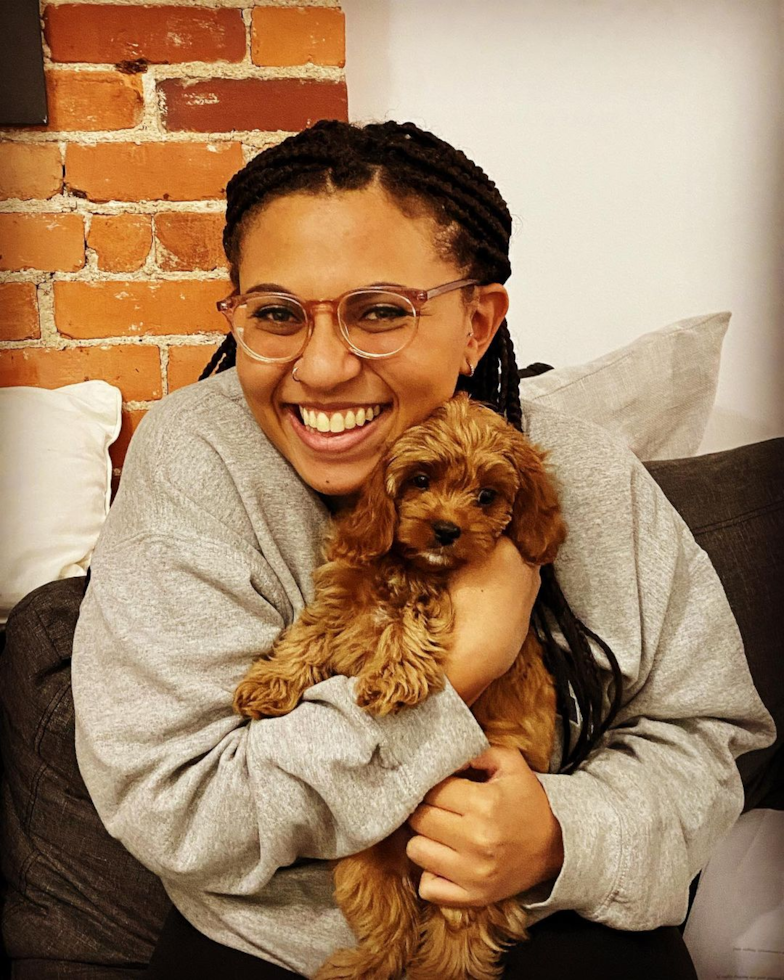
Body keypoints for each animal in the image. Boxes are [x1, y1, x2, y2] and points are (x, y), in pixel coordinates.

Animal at [233, 392, 564, 980]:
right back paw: (357, 967)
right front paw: (269, 682)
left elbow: (407, 620)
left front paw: (390, 675)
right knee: (391, 931)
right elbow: (309, 637)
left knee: (457, 943)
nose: (446, 530)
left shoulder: (434, 599)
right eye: (420, 480)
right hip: (366, 864)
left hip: (471, 877)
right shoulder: (340, 597)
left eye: (486, 496)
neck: (404, 565)